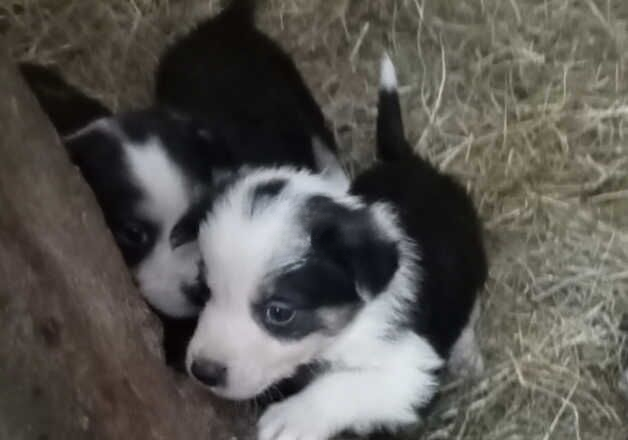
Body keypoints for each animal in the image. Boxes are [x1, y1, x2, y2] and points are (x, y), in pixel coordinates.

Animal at [186, 56, 490, 438]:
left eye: (279, 313)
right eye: (205, 289)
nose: (203, 371)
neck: (345, 330)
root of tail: (406, 160)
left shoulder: (411, 368)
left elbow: (349, 385)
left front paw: (291, 418)